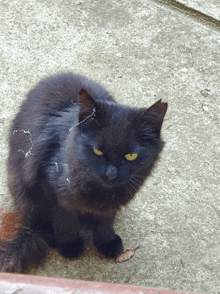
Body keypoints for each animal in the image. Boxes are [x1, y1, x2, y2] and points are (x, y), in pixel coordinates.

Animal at [0, 72, 167, 272]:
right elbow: (64, 220)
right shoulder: (51, 189)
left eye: (131, 155)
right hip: (25, 191)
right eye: (98, 151)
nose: (111, 174)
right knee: (38, 222)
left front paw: (106, 242)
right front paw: (70, 245)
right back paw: (51, 238)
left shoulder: (109, 206)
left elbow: (105, 221)